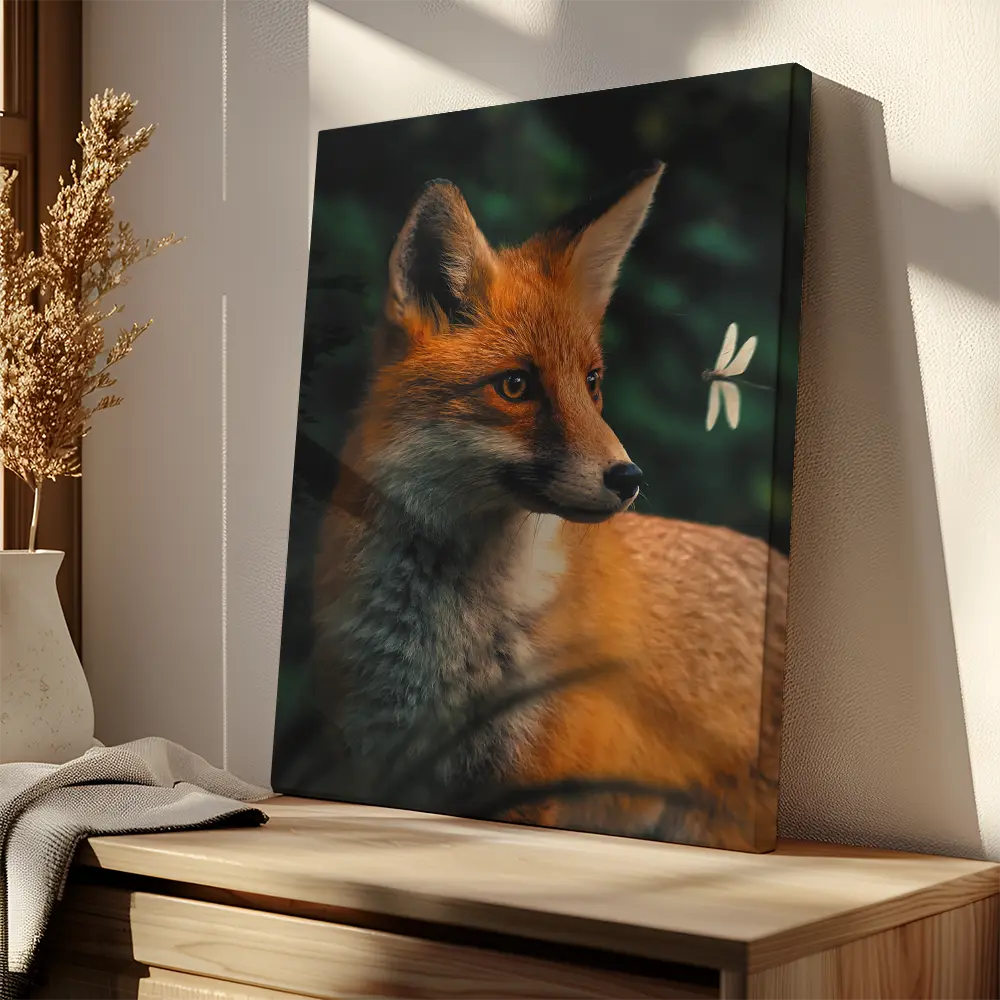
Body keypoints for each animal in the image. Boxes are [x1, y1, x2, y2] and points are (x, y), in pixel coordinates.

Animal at [311, 161, 788, 851]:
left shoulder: (529, 783)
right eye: (515, 386)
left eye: (592, 383)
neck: (447, 642)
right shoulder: (377, 758)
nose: (629, 477)